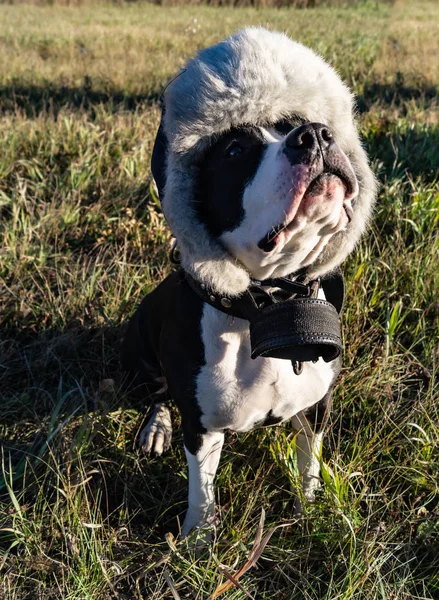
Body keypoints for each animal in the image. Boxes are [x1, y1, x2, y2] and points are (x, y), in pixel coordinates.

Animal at [121, 25, 378, 536]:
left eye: (301, 124)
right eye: (235, 151)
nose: (314, 134)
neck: (269, 300)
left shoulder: (318, 407)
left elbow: (309, 462)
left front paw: (308, 508)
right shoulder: (201, 428)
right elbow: (202, 490)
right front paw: (199, 540)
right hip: (140, 355)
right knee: (157, 394)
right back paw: (156, 427)